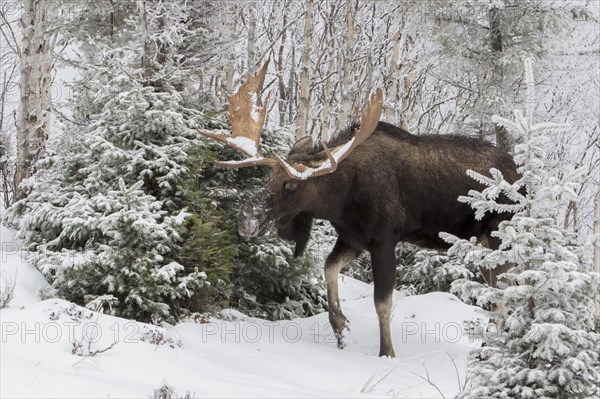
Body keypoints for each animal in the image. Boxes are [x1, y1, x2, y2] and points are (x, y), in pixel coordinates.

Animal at [199, 63, 516, 360]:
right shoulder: (353, 238)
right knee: (501, 293)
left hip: (498, 239)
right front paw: (341, 327)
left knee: (502, 295)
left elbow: (382, 302)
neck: (339, 200)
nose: (246, 219)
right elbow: (329, 267)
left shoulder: (384, 239)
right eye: (269, 178)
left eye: (291, 184)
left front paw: (387, 353)